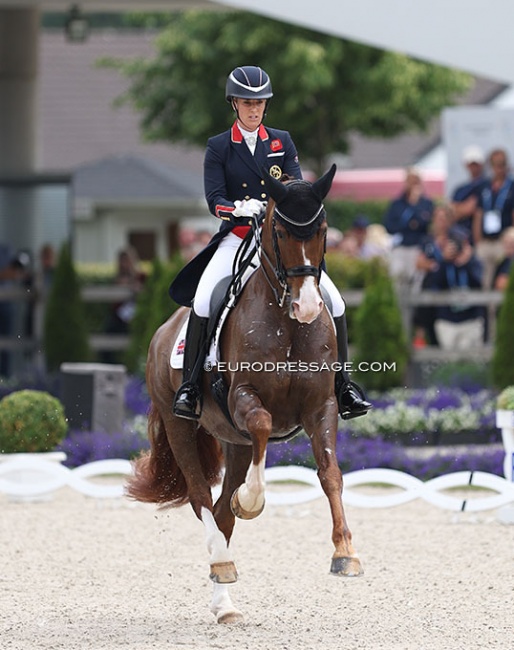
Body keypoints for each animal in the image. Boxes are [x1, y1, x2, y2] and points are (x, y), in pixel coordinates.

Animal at [126, 166, 362, 624]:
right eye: (280, 232)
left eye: (323, 230)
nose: (308, 307)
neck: (287, 324)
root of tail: (165, 329)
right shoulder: (244, 399)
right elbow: (264, 424)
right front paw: (251, 501)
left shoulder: (321, 407)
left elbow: (330, 474)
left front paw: (345, 553)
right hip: (181, 426)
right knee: (202, 499)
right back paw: (222, 563)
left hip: (233, 443)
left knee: (220, 513)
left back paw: (225, 603)